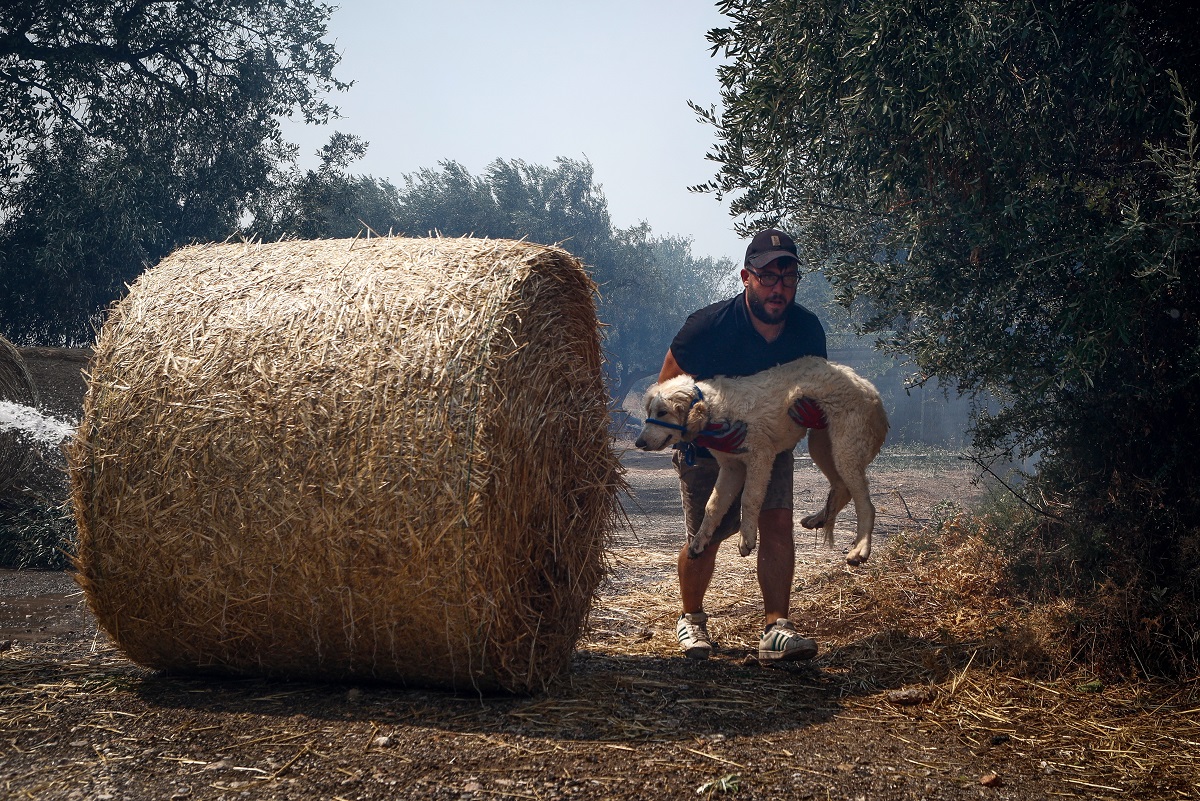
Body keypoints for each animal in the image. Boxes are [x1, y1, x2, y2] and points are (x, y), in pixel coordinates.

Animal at [633, 352, 888, 565]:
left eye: (662, 412)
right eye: (650, 412)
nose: (639, 443)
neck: (717, 409)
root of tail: (871, 389)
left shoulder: (760, 458)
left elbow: (749, 498)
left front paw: (746, 538)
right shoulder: (732, 467)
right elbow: (712, 506)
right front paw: (699, 541)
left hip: (845, 451)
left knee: (866, 505)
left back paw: (861, 549)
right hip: (822, 445)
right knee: (841, 488)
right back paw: (819, 519)